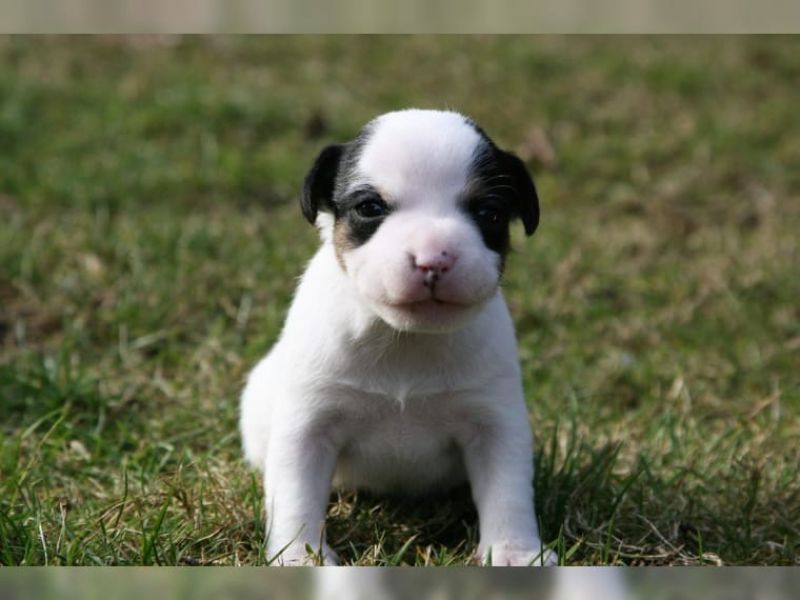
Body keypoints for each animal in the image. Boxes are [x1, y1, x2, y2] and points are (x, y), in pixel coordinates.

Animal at [240, 108, 553, 566]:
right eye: (370, 208)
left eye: (489, 213)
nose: (434, 258)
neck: (404, 338)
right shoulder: (307, 428)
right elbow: (297, 499)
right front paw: (299, 556)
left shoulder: (494, 425)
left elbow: (507, 494)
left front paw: (515, 553)